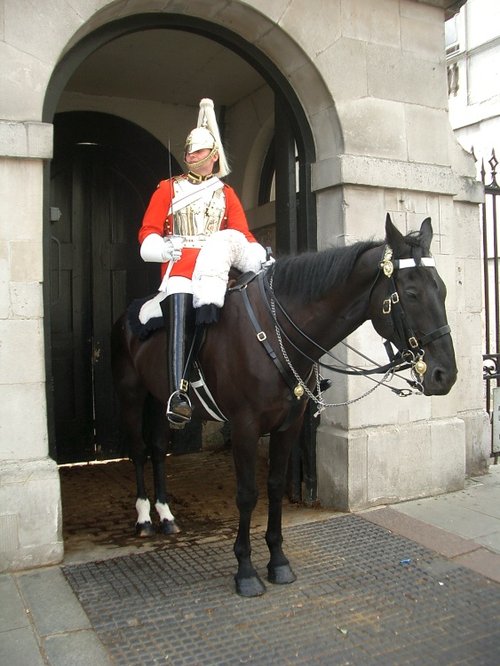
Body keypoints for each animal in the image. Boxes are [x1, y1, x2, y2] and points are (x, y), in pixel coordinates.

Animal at [111, 214, 456, 596]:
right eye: (410, 293)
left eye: (442, 289)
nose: (445, 375)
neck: (278, 333)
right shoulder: (244, 428)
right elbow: (247, 494)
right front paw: (245, 570)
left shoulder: (289, 424)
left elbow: (275, 485)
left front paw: (277, 560)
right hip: (131, 394)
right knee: (139, 449)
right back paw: (144, 517)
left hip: (160, 399)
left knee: (158, 449)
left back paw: (166, 515)